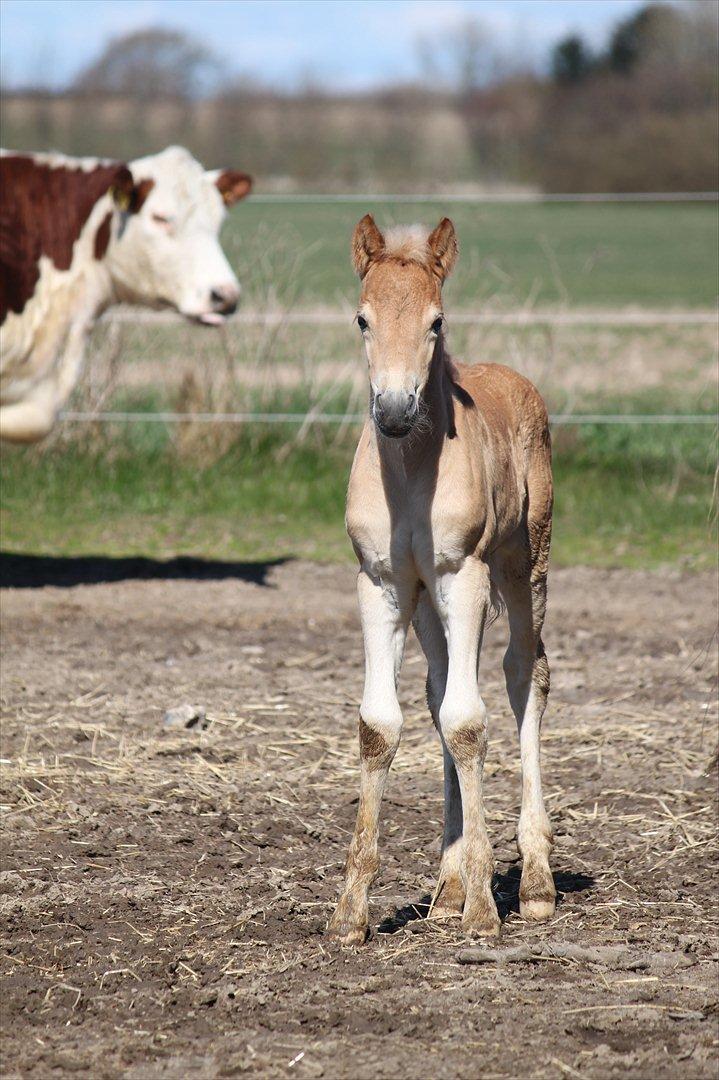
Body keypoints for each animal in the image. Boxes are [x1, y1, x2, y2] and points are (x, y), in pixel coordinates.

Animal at [328, 214, 557, 941]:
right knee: (435, 690)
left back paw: (535, 883)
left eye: (436, 321)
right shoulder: (382, 582)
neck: (410, 474)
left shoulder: (463, 574)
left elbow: (467, 721)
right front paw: (350, 914)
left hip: (522, 566)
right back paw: (447, 888)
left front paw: (485, 910)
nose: (395, 412)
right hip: (430, 600)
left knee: (525, 674)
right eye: (361, 319)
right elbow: (383, 724)